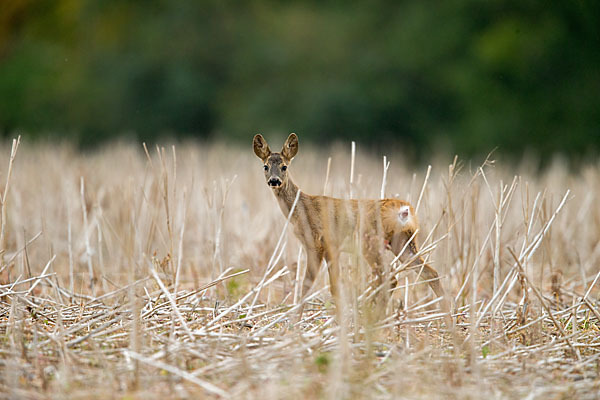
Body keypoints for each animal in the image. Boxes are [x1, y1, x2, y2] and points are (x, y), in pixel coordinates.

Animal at [253, 133, 450, 324]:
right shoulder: (330, 247)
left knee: (390, 277)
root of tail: (405, 211)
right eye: (265, 166)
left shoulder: (318, 243)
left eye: (284, 167)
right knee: (430, 273)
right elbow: (331, 286)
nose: (274, 181)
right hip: (403, 242)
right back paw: (448, 318)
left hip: (370, 241)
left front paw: (298, 322)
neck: (301, 209)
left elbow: (310, 285)